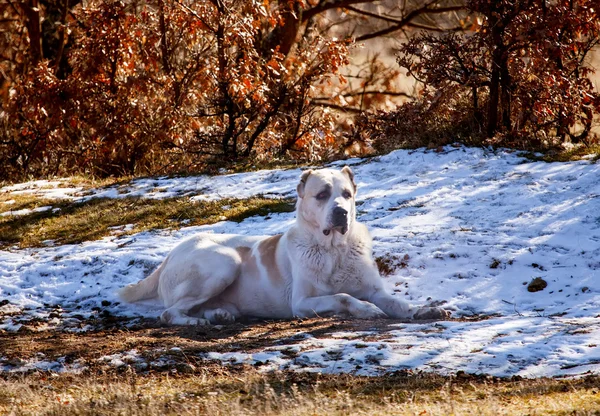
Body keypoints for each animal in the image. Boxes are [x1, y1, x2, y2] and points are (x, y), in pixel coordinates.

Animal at [120, 166, 450, 324]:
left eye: (346, 194)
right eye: (322, 195)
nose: (341, 212)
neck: (334, 250)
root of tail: (169, 255)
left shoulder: (375, 289)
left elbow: (397, 302)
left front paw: (422, 310)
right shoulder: (302, 303)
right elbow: (343, 296)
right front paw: (366, 310)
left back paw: (219, 315)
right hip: (224, 262)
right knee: (168, 312)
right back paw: (195, 322)